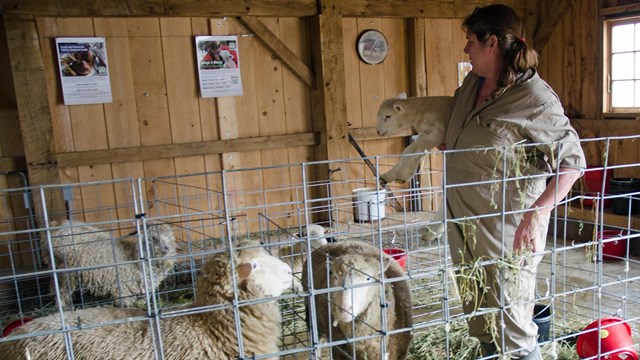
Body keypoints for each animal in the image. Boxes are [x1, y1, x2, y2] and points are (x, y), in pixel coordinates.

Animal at [42, 218, 178, 308]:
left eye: (171, 237)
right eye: (154, 237)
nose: (167, 248)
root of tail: (56, 225)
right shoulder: (123, 290)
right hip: (65, 272)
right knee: (61, 292)